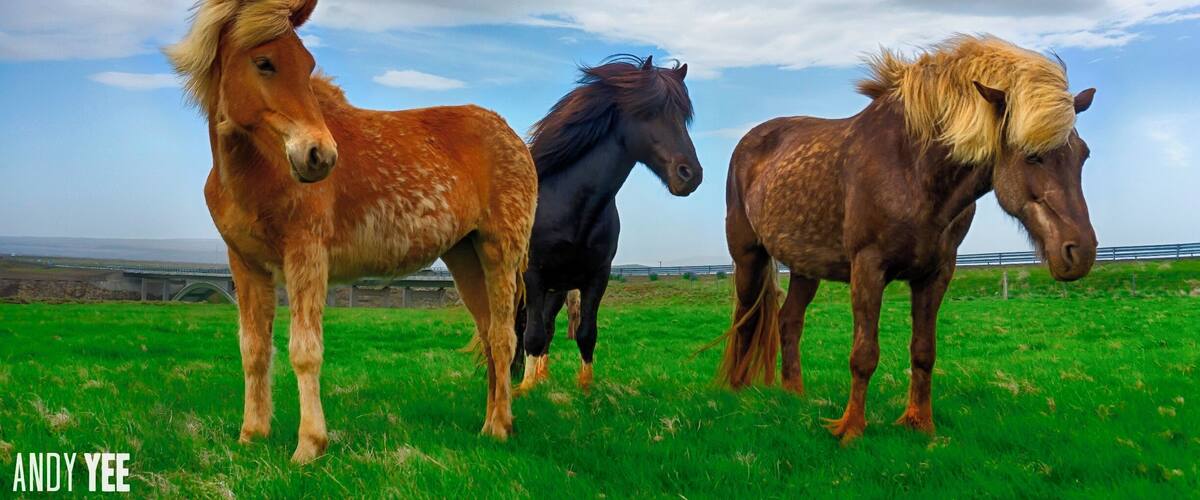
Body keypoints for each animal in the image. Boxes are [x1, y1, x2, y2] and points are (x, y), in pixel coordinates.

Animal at [167, 0, 537, 463]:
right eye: (264, 62)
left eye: (307, 65)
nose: (319, 156)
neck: (258, 168)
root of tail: (512, 136)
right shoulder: (246, 265)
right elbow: (254, 350)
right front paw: (251, 435)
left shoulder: (306, 256)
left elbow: (305, 351)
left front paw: (310, 445)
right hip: (465, 258)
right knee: (489, 337)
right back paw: (492, 423)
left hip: (499, 253)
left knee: (504, 338)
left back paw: (500, 429)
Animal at [515, 55, 702, 393]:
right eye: (650, 112)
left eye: (684, 117)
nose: (690, 174)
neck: (571, 206)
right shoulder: (533, 275)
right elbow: (531, 335)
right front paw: (523, 391)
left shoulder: (597, 276)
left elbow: (586, 333)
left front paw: (585, 388)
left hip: (558, 289)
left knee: (548, 324)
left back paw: (543, 376)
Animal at [717, 35, 1097, 444]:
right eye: (1031, 157)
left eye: (1083, 155)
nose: (1080, 252)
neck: (911, 168)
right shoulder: (868, 268)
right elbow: (864, 354)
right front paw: (850, 429)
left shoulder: (935, 273)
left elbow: (923, 352)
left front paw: (920, 424)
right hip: (749, 258)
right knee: (745, 319)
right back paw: (737, 392)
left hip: (806, 267)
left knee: (789, 321)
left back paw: (795, 395)